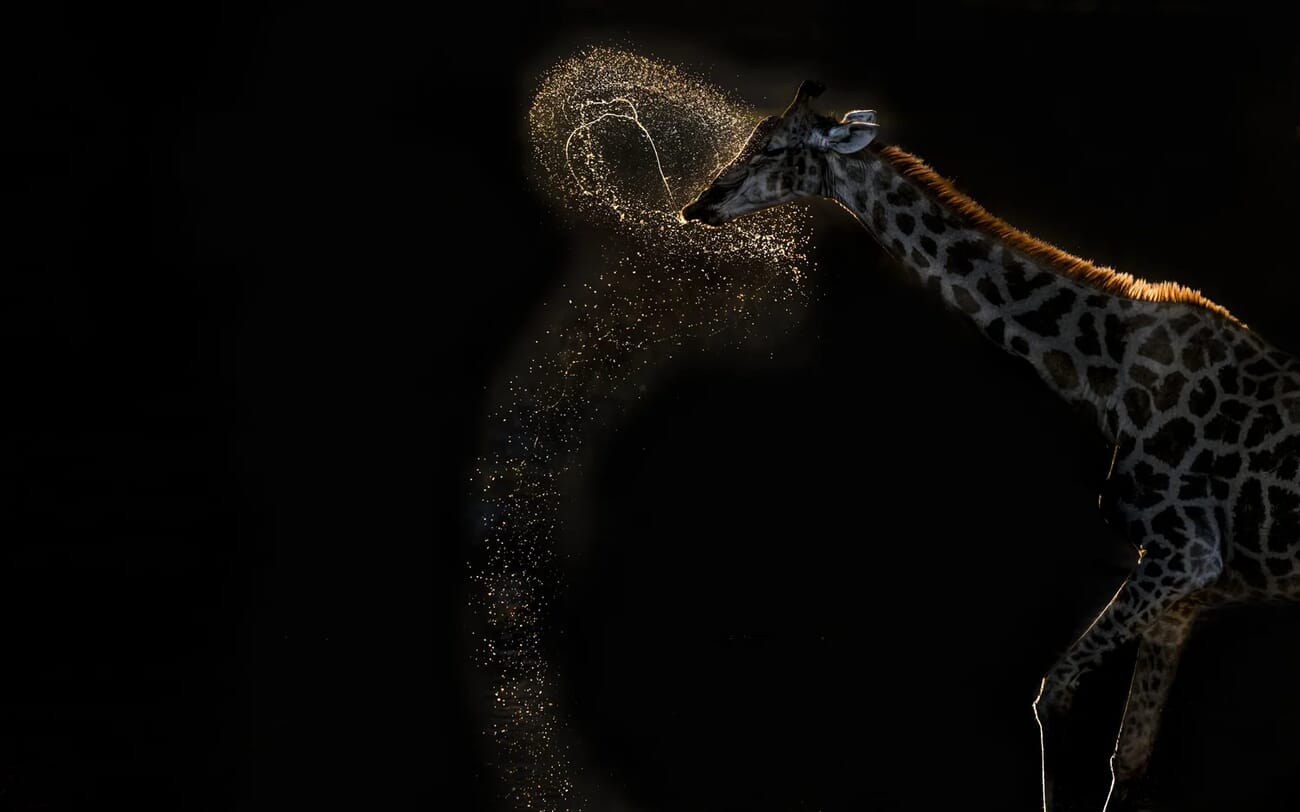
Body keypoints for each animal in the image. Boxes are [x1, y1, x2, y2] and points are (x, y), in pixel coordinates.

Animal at [682, 81, 1300, 808]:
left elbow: (1052, 695)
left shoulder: (1187, 552)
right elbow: (1128, 757)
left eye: (776, 149)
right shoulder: (1187, 587)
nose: (700, 205)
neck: (1103, 376)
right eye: (751, 138)